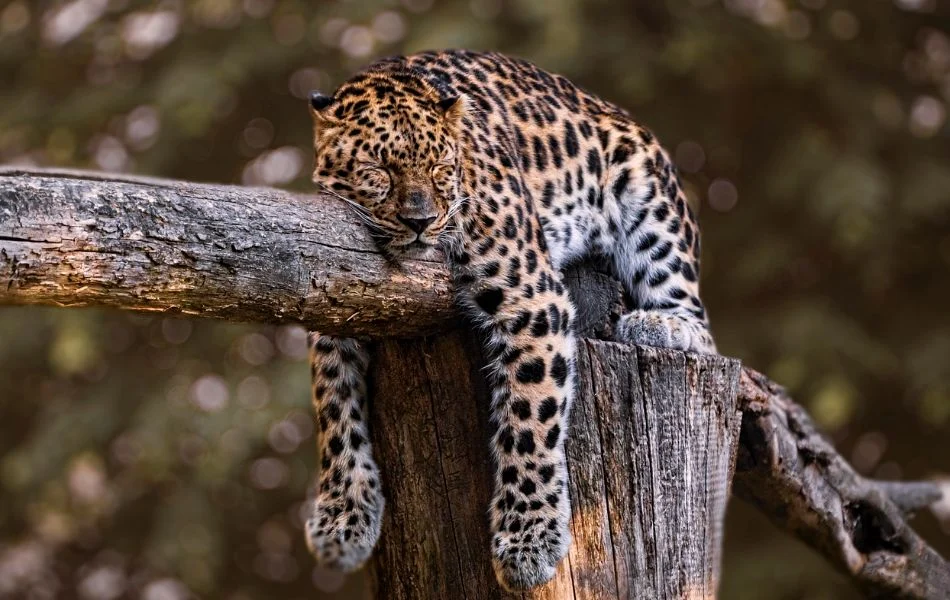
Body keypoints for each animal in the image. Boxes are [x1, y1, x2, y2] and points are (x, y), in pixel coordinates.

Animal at [303, 49, 716, 591]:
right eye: (378, 169)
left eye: (440, 168)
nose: (421, 222)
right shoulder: (333, 306)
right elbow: (335, 413)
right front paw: (343, 519)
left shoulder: (533, 299)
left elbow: (530, 419)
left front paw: (529, 542)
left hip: (652, 206)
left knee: (699, 324)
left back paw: (659, 325)